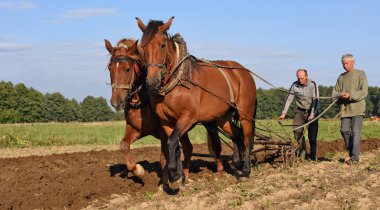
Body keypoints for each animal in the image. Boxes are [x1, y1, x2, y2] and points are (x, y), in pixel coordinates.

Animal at [104, 38, 194, 185]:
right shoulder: (135, 128)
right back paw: (185, 175)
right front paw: (139, 171)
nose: (116, 102)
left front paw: (165, 183)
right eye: (110, 68)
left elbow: (164, 158)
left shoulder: (164, 131)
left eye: (127, 69)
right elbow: (124, 145)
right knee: (188, 148)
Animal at [137, 16, 258, 189]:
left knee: (247, 138)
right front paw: (177, 176)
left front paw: (174, 175)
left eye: (162, 45)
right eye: (142, 47)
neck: (177, 83)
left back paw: (246, 171)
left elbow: (172, 141)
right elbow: (174, 145)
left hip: (245, 113)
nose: (152, 83)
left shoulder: (188, 117)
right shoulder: (166, 121)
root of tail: (243, 71)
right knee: (236, 133)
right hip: (222, 117)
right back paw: (237, 163)